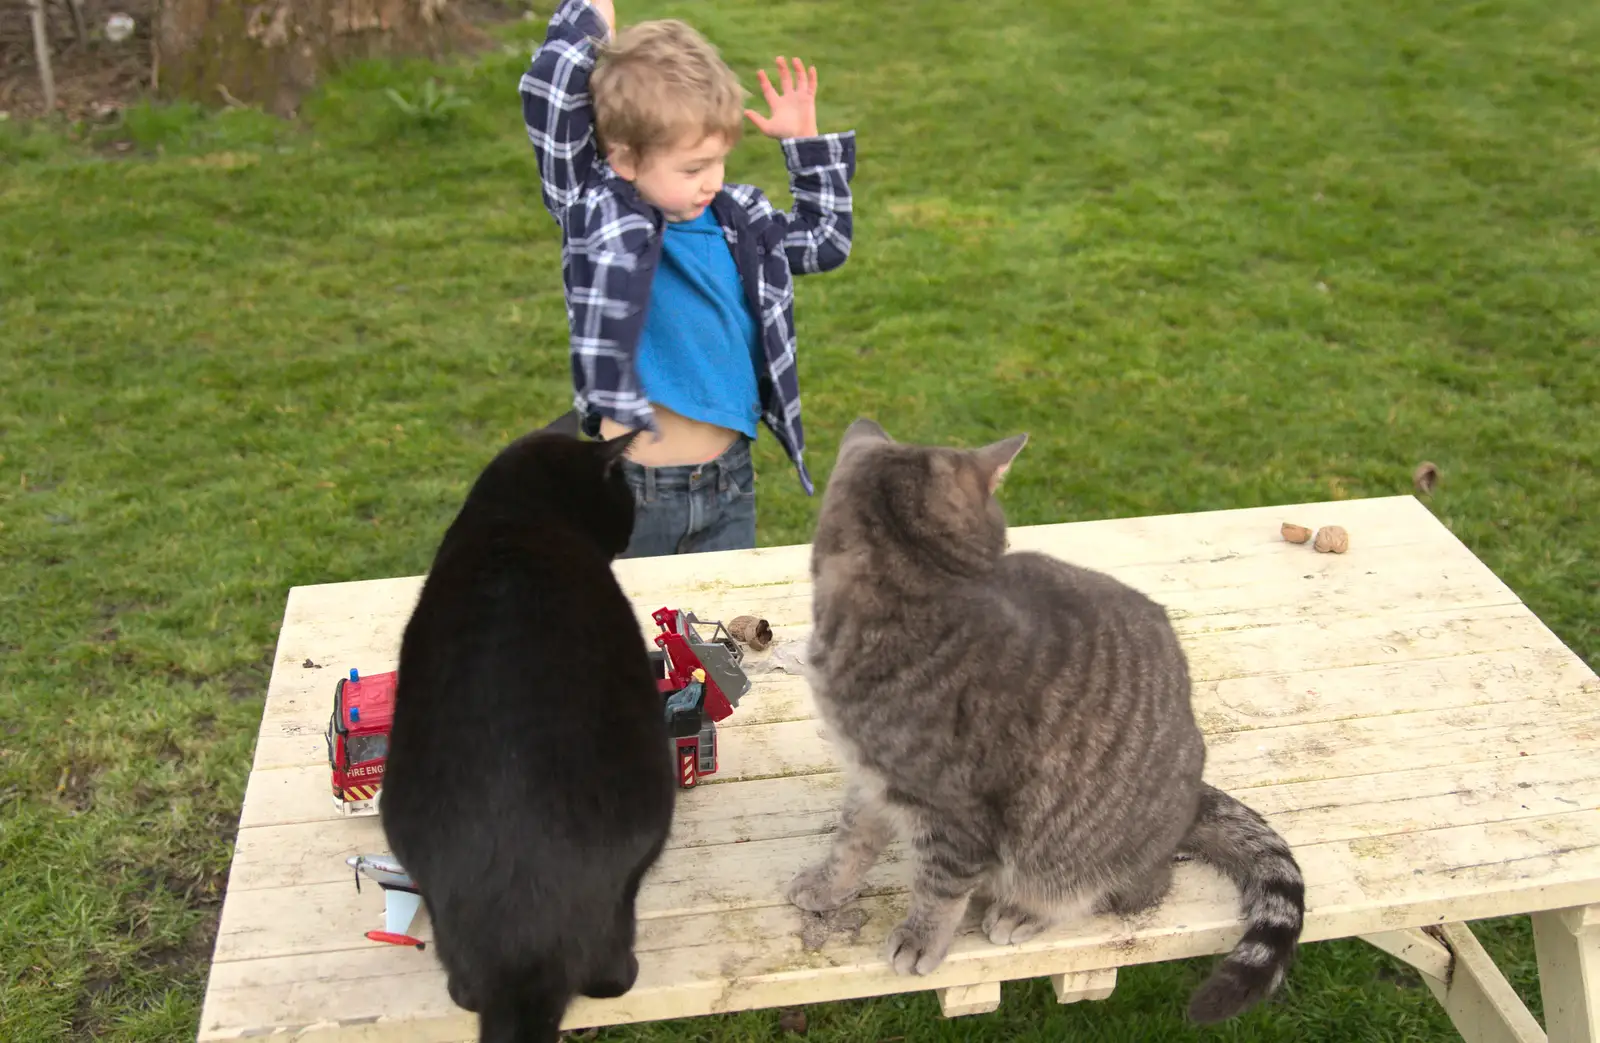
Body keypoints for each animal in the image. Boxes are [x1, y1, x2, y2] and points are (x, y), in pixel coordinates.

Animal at [384, 425, 678, 1043]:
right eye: (624, 499)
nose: (630, 529)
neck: (512, 516)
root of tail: (520, 952)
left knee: (463, 988)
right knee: (609, 971)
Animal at [787, 419, 1299, 1023]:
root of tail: (1191, 801)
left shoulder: (957, 819)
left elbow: (938, 888)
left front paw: (920, 938)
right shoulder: (870, 780)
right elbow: (851, 843)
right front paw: (826, 886)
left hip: (1079, 857)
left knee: (1121, 891)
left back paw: (1023, 910)